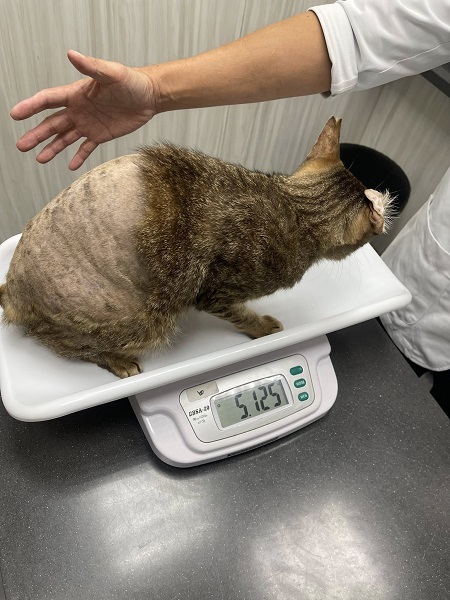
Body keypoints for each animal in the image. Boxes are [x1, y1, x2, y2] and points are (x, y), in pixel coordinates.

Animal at [0, 117, 391, 378]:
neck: (294, 205)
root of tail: (13, 291)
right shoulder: (213, 292)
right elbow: (243, 315)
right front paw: (263, 327)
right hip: (147, 321)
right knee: (69, 345)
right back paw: (119, 361)